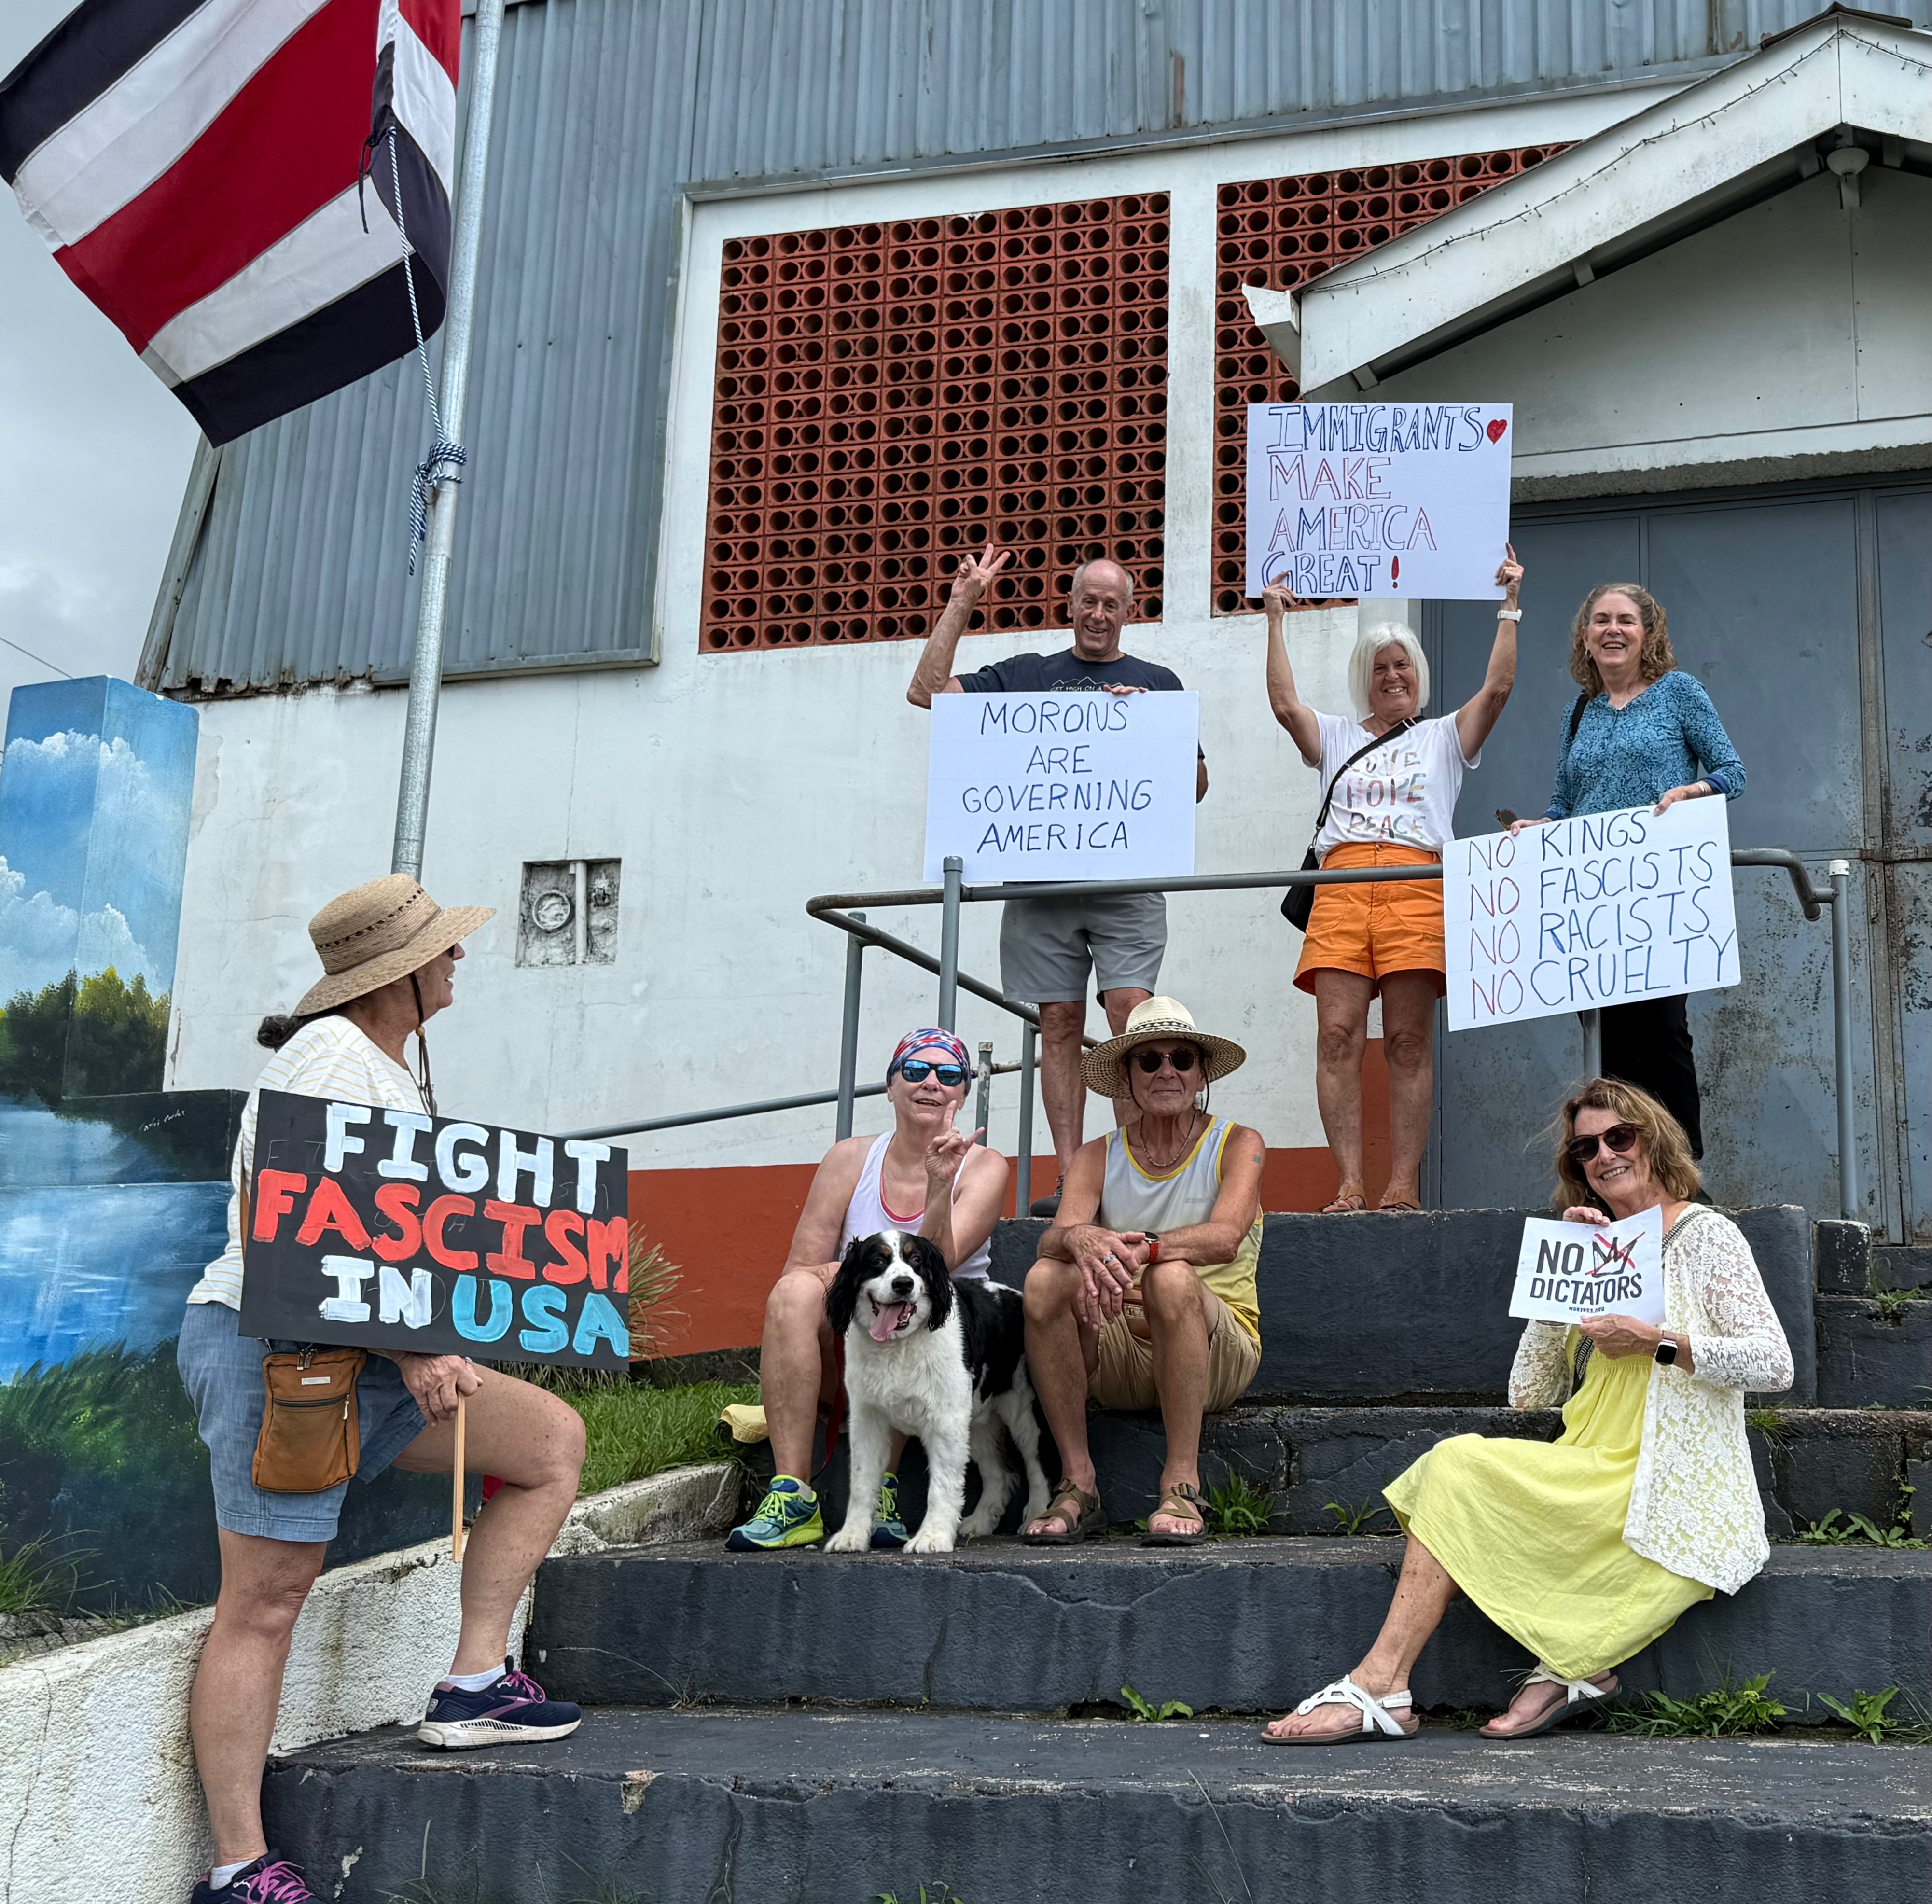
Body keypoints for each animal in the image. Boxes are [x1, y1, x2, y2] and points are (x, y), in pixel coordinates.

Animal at [822, 1229, 1050, 1554]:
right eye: (877, 1261)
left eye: (916, 1259)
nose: (903, 1284)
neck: (899, 1345)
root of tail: (1019, 1298)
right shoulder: (868, 1419)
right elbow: (861, 1481)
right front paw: (851, 1535)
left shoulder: (945, 1420)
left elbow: (942, 1485)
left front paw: (933, 1537)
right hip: (977, 1421)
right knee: (1000, 1473)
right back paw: (980, 1522)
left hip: (1022, 1411)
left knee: (1035, 1463)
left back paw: (1038, 1514)